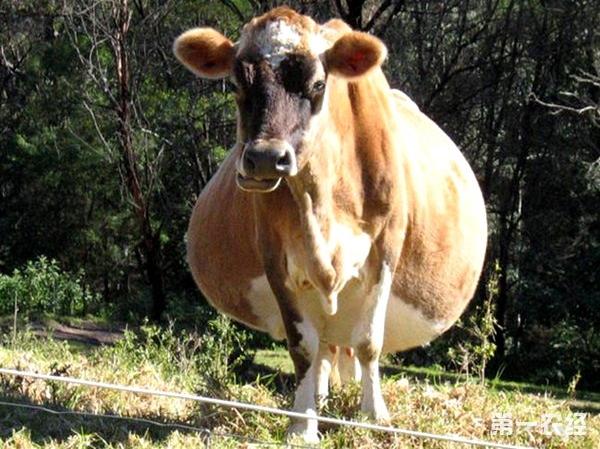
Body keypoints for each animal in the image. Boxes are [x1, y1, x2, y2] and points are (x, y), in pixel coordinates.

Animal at [173, 7, 488, 440]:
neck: (321, 203)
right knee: (325, 343)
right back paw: (321, 398)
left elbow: (369, 341)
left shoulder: (386, 250)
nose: (266, 158)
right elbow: (303, 345)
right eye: (236, 83)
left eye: (319, 83)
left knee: (348, 344)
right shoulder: (276, 259)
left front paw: (373, 416)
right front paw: (302, 424)